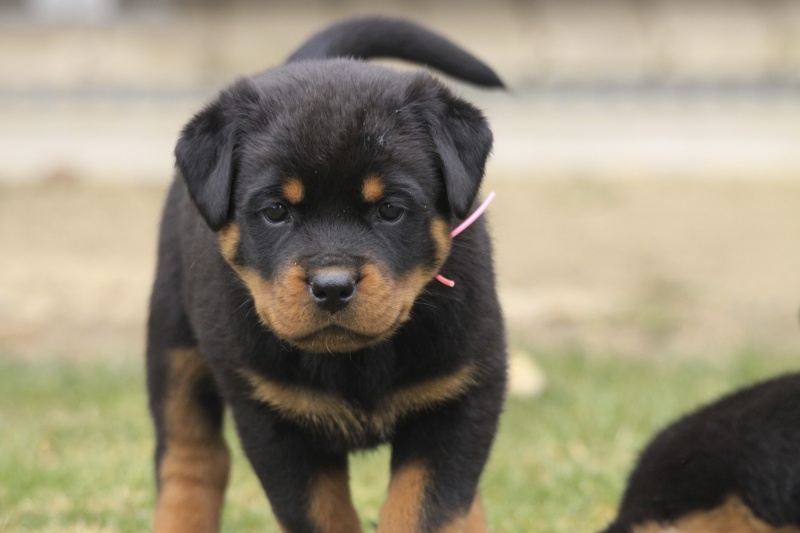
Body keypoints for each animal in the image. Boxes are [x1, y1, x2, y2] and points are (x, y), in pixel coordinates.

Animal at [146, 16, 506, 532]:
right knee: (190, 457)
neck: (356, 361)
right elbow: (321, 514)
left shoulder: (462, 393)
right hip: (173, 339)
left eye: (390, 209)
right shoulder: (273, 417)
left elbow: (424, 509)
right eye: (276, 211)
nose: (332, 287)